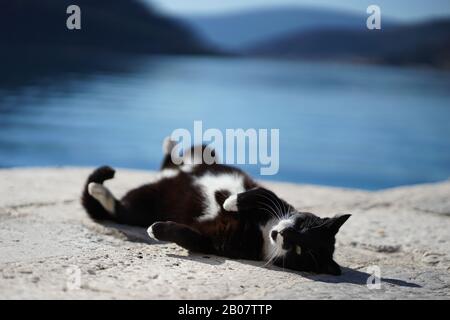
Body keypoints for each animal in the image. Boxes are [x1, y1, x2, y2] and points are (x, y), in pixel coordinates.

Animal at [81, 138, 352, 276]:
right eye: (301, 224)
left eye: (298, 250)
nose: (284, 233)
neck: (265, 232)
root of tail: (167, 177)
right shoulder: (275, 201)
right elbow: (260, 193)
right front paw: (232, 202)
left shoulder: (215, 241)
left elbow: (190, 236)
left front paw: (157, 230)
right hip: (201, 159)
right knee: (193, 153)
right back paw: (172, 146)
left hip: (145, 203)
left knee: (118, 210)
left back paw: (98, 189)